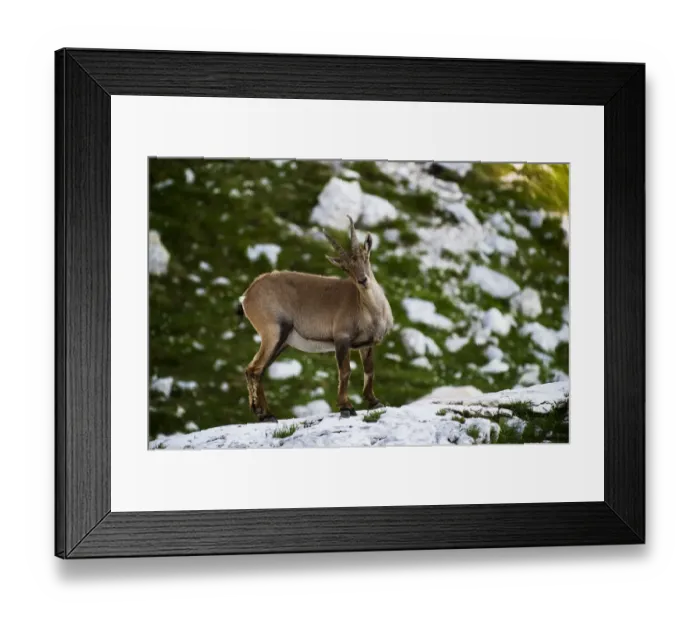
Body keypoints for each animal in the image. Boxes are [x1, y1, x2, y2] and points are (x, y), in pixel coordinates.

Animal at [239, 216, 394, 423]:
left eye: (365, 257)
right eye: (346, 268)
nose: (362, 280)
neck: (369, 310)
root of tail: (247, 295)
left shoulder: (366, 344)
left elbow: (369, 370)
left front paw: (374, 402)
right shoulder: (341, 338)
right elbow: (345, 371)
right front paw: (346, 407)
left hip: (282, 341)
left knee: (258, 370)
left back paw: (263, 413)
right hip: (273, 332)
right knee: (254, 369)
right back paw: (266, 415)